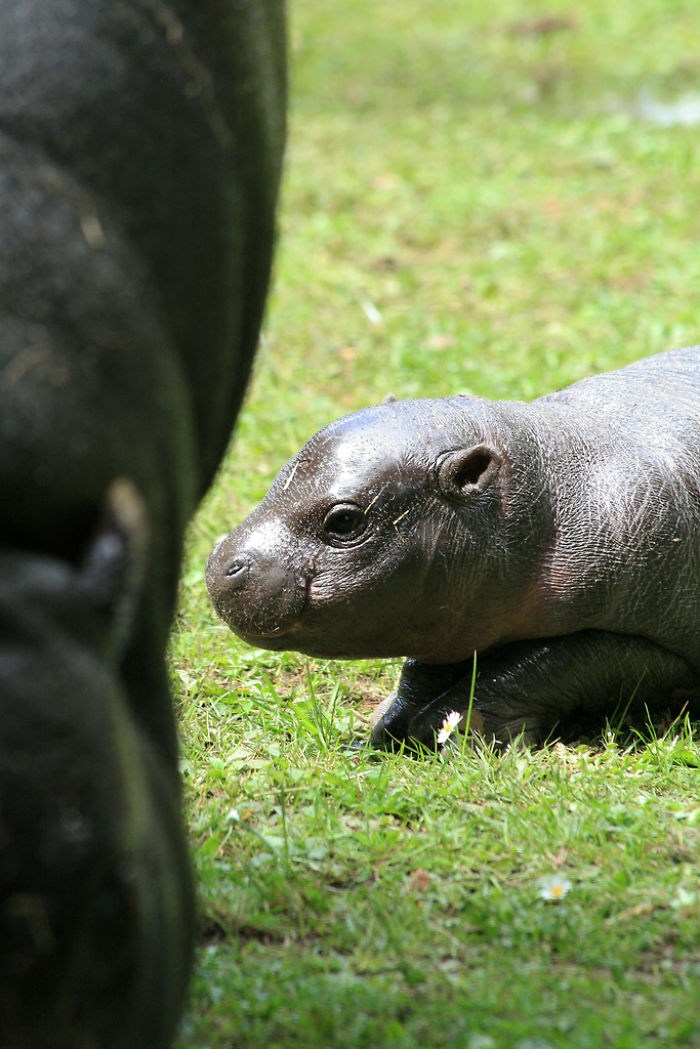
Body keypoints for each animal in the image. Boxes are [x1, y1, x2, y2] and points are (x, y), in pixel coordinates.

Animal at [207, 346, 700, 750]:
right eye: (280, 473)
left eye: (344, 521)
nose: (220, 564)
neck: (552, 487)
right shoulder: (455, 611)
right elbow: (422, 670)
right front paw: (383, 728)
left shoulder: (652, 643)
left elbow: (541, 665)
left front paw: (448, 732)